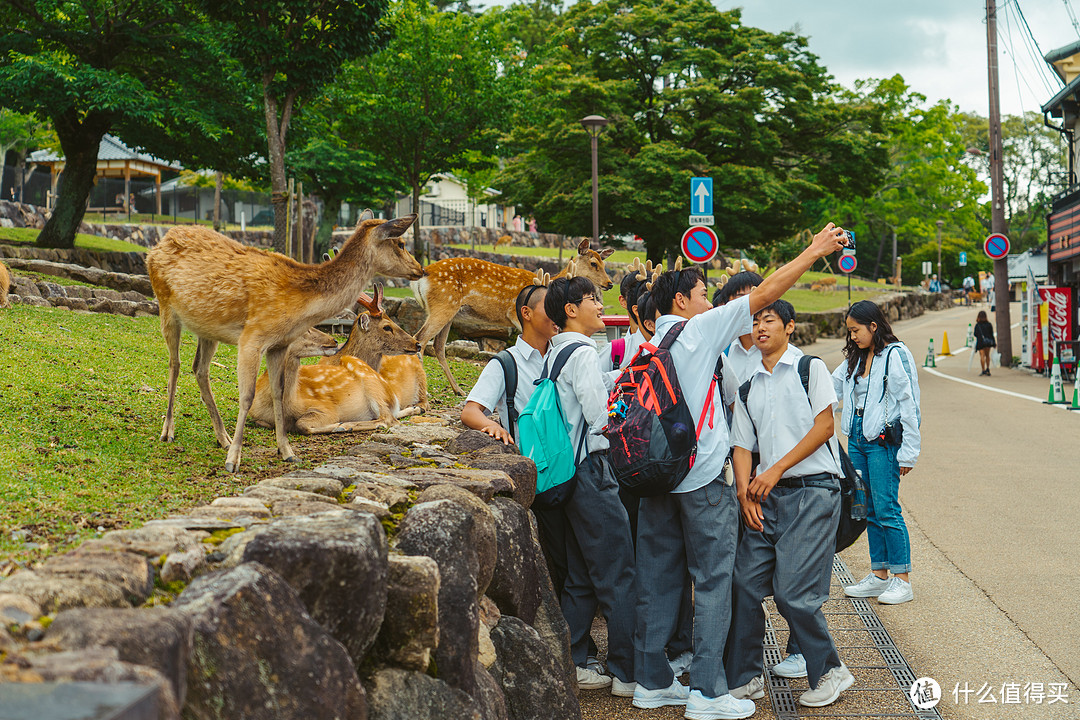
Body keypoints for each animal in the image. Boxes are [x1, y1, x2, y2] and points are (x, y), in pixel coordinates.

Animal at [145, 208, 423, 472]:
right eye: (401, 243)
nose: (420, 269)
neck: (297, 304)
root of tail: (159, 243)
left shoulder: (279, 344)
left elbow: (278, 394)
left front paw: (287, 452)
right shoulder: (251, 338)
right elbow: (246, 396)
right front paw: (233, 461)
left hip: (207, 329)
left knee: (200, 369)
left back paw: (222, 437)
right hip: (165, 306)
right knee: (175, 364)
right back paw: (168, 432)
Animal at [408, 237, 613, 395]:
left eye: (604, 263)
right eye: (593, 263)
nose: (610, 283)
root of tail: (422, 277)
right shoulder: (516, 316)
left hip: (450, 312)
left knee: (438, 346)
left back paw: (458, 390)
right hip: (443, 304)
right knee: (420, 338)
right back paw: (425, 393)